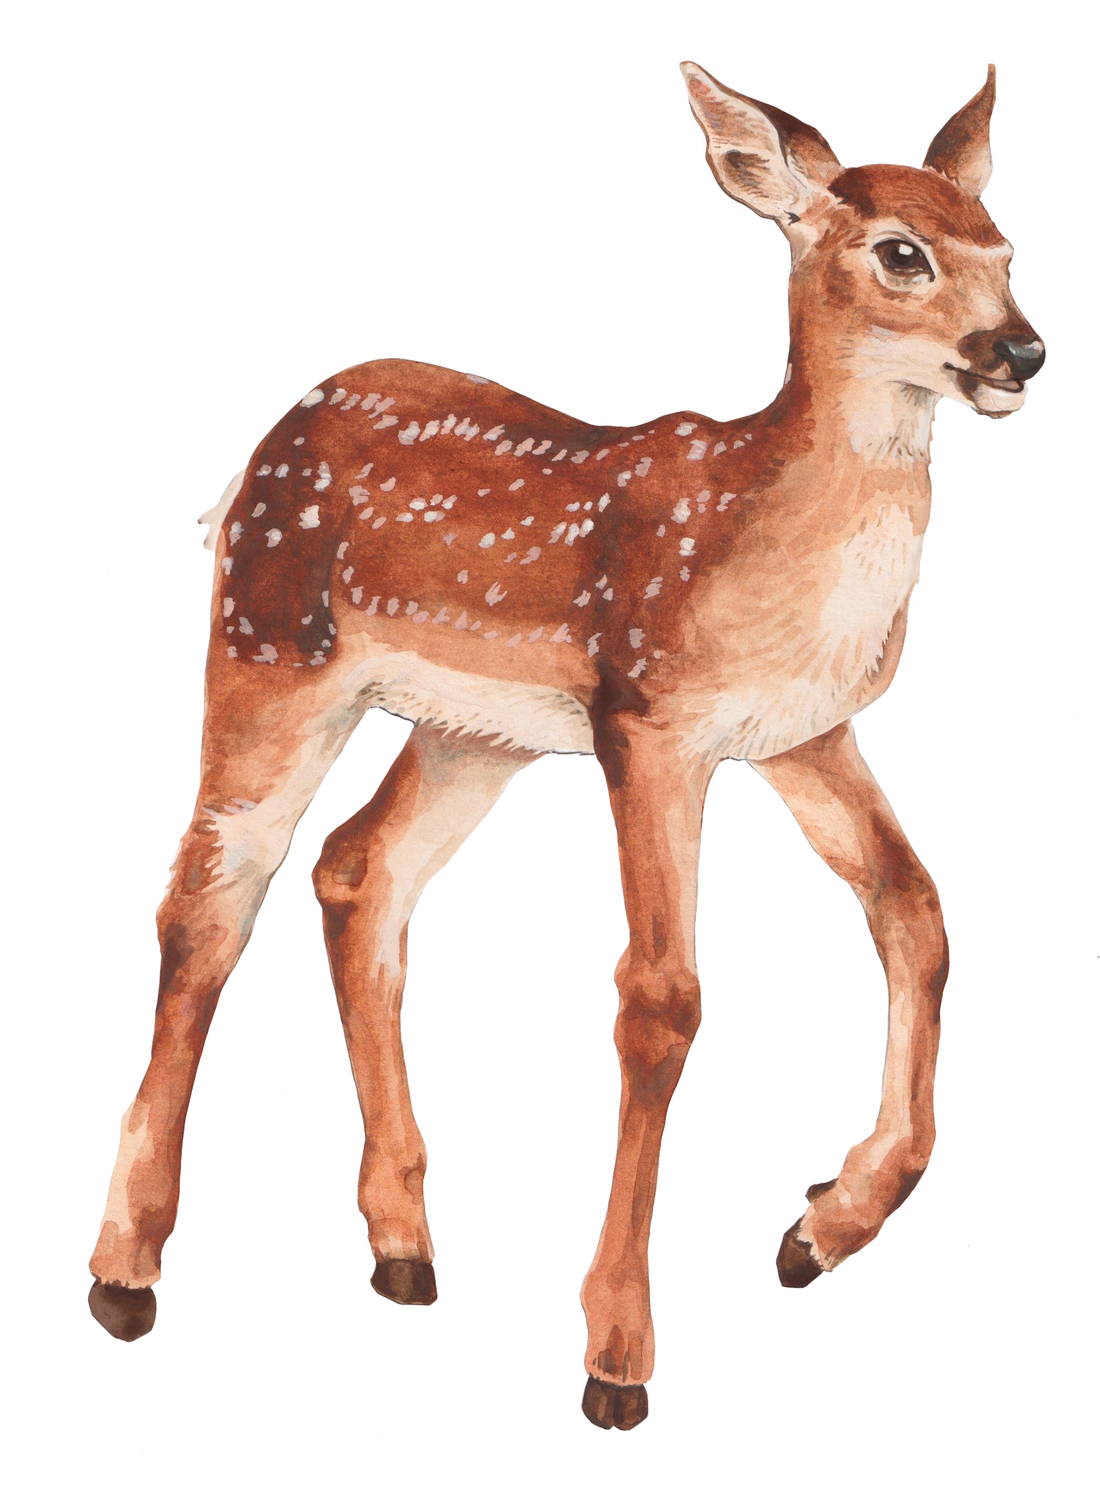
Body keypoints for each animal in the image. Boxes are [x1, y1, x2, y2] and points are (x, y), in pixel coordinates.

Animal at [87, 61, 1044, 1430]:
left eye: (1005, 247)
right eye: (900, 252)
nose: (1019, 351)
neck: (770, 527)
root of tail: (261, 447)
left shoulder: (803, 731)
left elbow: (915, 912)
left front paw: (822, 1223)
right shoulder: (648, 721)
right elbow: (661, 998)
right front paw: (615, 1353)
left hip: (467, 733)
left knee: (358, 871)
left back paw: (402, 1248)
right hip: (270, 651)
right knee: (210, 897)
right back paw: (126, 1272)